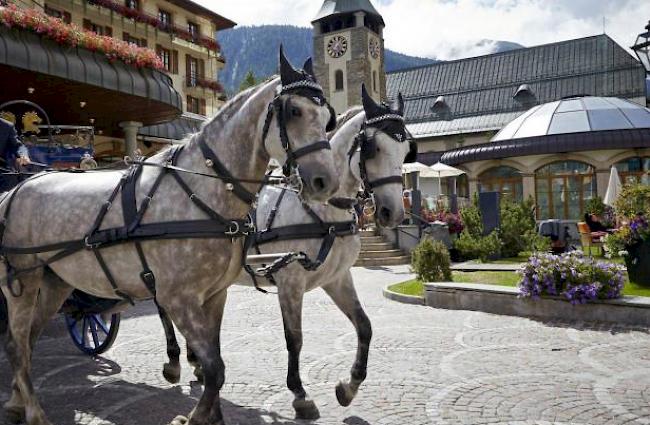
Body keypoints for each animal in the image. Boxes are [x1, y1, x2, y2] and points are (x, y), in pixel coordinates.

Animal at [1, 48, 340, 424]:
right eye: (294, 111)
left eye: (328, 117)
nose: (326, 182)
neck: (200, 191)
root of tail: (16, 189)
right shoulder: (178, 298)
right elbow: (215, 368)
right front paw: (193, 416)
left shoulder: (215, 295)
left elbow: (214, 363)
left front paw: (211, 413)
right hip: (23, 280)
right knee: (16, 343)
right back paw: (34, 412)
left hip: (55, 282)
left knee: (27, 341)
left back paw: (16, 401)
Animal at [157, 84, 416, 420]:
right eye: (372, 147)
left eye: (405, 149)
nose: (393, 213)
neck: (322, 212)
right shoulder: (290, 281)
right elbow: (295, 338)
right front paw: (300, 394)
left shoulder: (338, 278)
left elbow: (365, 327)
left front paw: (349, 387)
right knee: (164, 309)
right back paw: (174, 362)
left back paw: (196, 363)